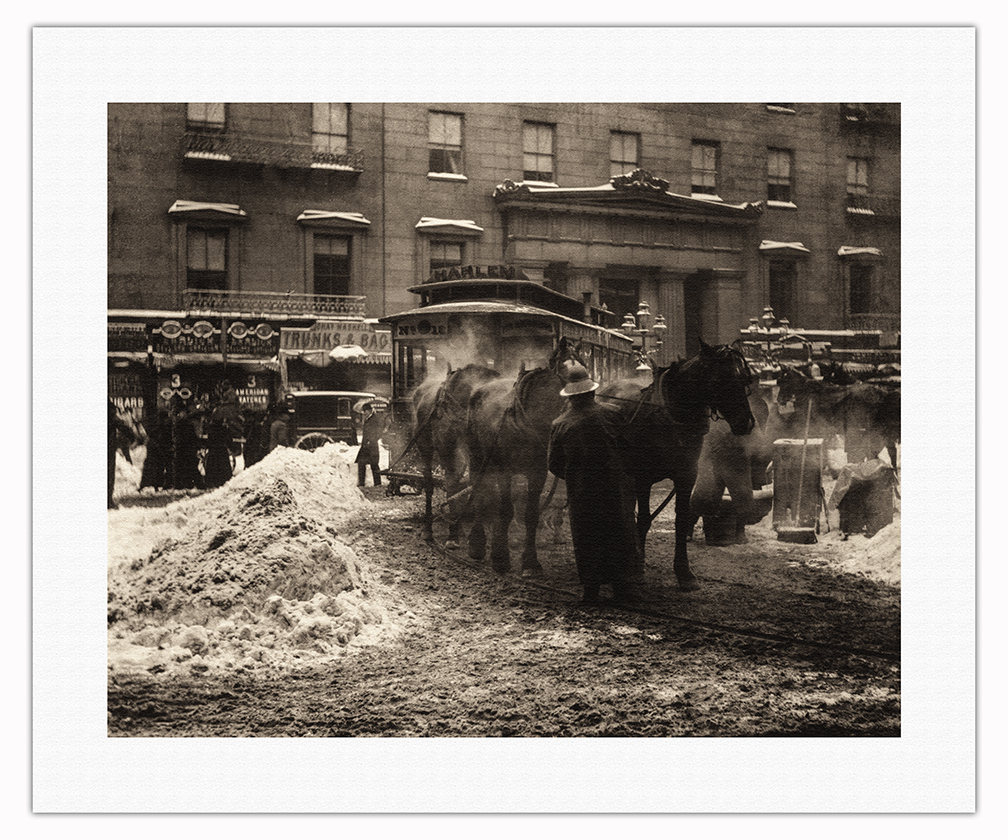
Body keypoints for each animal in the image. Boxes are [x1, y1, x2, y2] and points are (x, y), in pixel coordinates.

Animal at [411, 361, 501, 544]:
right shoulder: (448, 450)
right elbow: (452, 485)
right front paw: (452, 536)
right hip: (425, 446)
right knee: (429, 482)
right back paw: (428, 528)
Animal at [461, 338, 580, 568]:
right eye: (566, 371)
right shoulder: (505, 471)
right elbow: (506, 510)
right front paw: (500, 557)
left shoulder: (537, 473)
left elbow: (531, 515)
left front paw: (530, 562)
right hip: (478, 457)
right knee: (479, 492)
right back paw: (477, 544)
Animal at [596, 340, 758, 588]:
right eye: (721, 379)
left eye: (743, 379)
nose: (746, 423)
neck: (670, 417)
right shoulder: (643, 479)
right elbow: (644, 519)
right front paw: (639, 565)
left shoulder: (686, 476)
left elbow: (681, 519)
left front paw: (684, 572)